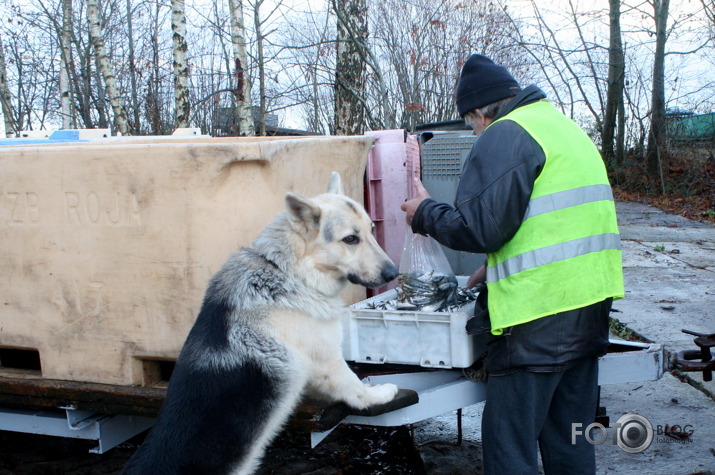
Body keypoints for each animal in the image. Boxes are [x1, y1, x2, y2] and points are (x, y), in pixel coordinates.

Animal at [125, 173, 400, 474]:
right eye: (350, 239)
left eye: (371, 230)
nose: (394, 273)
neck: (287, 272)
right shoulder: (329, 363)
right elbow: (355, 388)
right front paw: (378, 394)